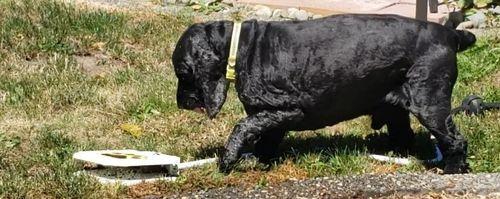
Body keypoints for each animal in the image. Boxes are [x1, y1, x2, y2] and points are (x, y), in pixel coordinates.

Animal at [172, 14, 476, 173]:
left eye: (183, 72)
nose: (181, 103)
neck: (242, 47)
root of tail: (451, 35)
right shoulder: (271, 117)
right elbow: (264, 138)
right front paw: (259, 160)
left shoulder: (286, 109)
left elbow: (243, 126)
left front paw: (228, 159)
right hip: (398, 106)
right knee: (405, 133)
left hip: (429, 100)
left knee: (455, 139)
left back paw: (451, 169)